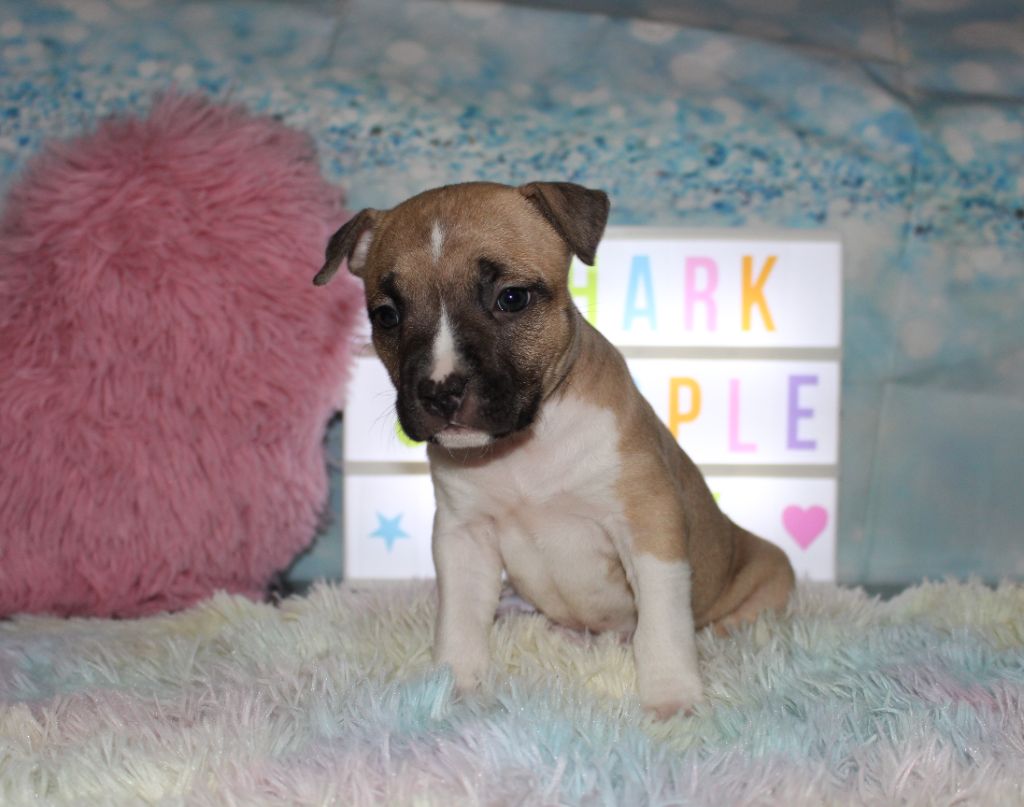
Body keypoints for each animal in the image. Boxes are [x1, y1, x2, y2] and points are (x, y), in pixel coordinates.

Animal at [314, 181, 795, 717]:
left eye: (512, 298)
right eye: (386, 316)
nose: (440, 391)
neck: (525, 446)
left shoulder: (649, 525)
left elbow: (662, 626)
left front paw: (672, 698)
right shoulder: (464, 536)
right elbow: (459, 621)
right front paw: (453, 685)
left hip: (766, 573)